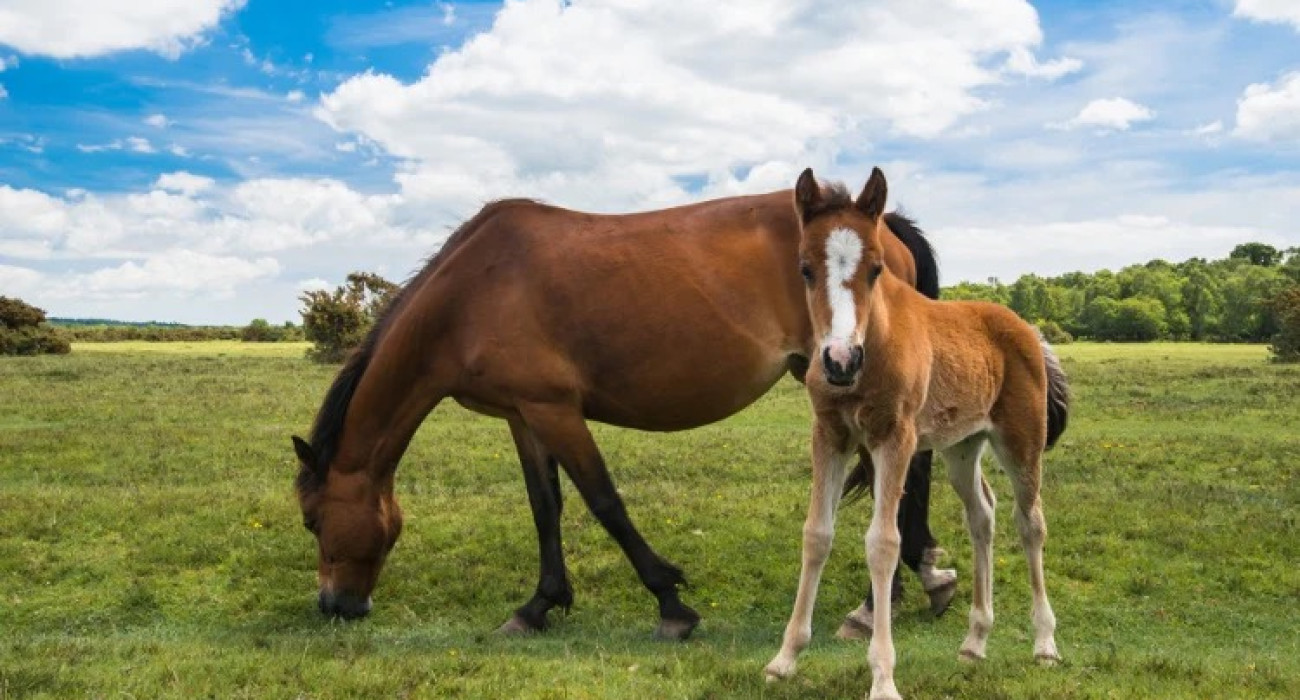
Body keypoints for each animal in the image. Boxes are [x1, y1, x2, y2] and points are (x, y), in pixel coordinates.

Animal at [290, 178, 955, 640]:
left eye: (313, 520)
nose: (336, 606)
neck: (471, 292)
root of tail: (884, 225)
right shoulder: (523, 414)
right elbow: (546, 507)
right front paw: (538, 606)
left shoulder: (555, 411)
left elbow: (604, 502)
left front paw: (672, 606)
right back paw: (918, 579)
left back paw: (875, 604)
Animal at [763, 167, 1068, 699]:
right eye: (804, 269)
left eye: (876, 269)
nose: (840, 361)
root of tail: (1028, 329)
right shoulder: (830, 436)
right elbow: (817, 534)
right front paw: (785, 659)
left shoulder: (895, 438)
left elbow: (883, 543)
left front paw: (883, 677)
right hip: (961, 447)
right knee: (982, 516)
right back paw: (974, 642)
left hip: (1022, 438)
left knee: (1030, 522)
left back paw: (1045, 645)